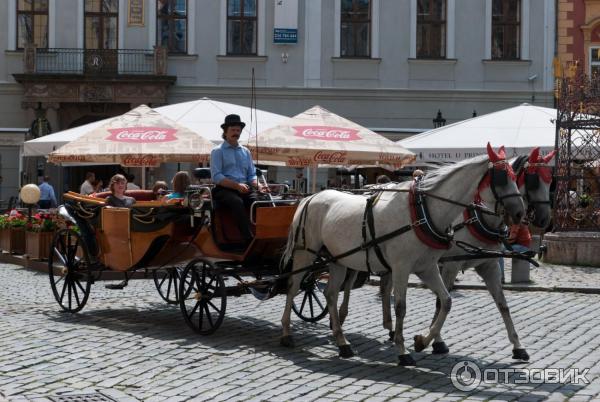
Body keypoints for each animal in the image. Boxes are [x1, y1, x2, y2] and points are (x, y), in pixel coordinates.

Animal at [278, 144, 524, 364]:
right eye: (502, 178)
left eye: (516, 177)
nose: (521, 213)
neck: (423, 210)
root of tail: (309, 197)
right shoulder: (402, 267)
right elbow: (401, 307)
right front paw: (403, 350)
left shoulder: (428, 267)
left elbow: (447, 301)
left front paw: (423, 341)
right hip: (306, 254)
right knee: (293, 286)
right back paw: (287, 333)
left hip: (337, 258)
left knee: (330, 293)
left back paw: (342, 342)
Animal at [368, 148, 556, 362]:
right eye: (534, 180)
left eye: (551, 180)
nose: (545, 219)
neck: (477, 216)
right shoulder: (450, 266)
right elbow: (440, 302)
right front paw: (434, 340)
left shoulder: (488, 265)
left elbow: (503, 305)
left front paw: (518, 346)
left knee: (386, 287)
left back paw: (390, 329)